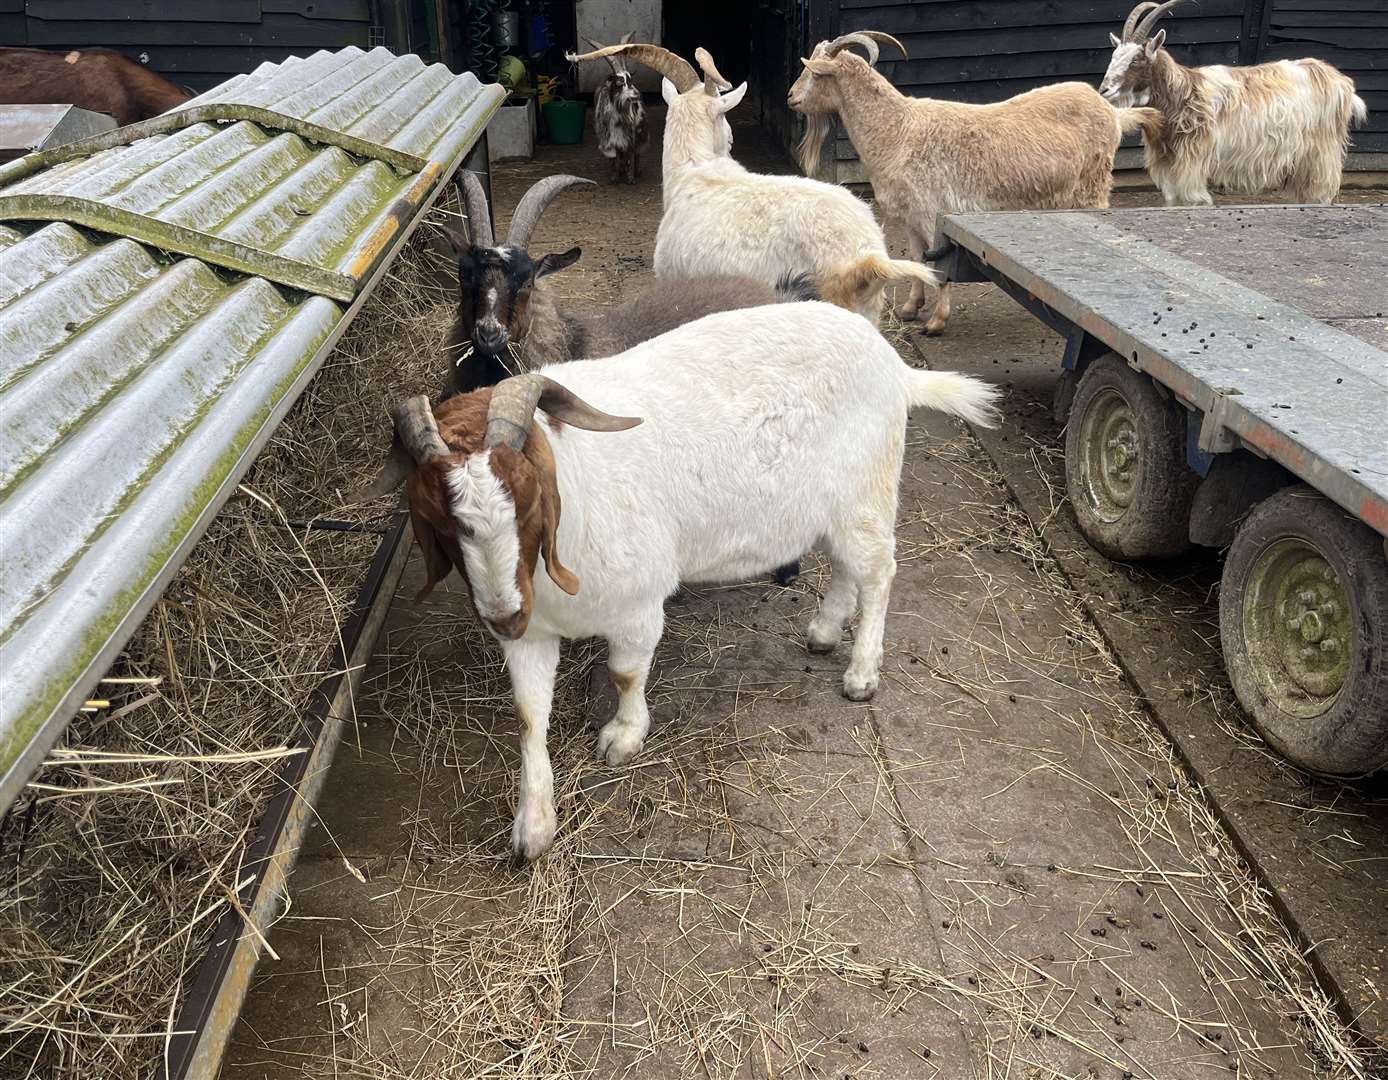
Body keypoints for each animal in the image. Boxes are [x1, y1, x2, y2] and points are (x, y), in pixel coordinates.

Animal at [788, 31, 1154, 331]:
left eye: (815, 72)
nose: (791, 96)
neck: (899, 130)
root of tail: (1111, 111)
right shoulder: (909, 215)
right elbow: (916, 257)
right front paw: (910, 307)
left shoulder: (931, 211)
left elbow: (937, 266)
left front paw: (936, 321)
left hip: (1094, 184)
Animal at [1104, 0, 1365, 205]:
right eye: (1114, 56)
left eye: (1136, 60)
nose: (1105, 89)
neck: (1184, 93)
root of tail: (1339, 81)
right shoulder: (1169, 165)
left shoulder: (1192, 165)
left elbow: (1193, 200)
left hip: (1321, 156)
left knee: (1320, 194)